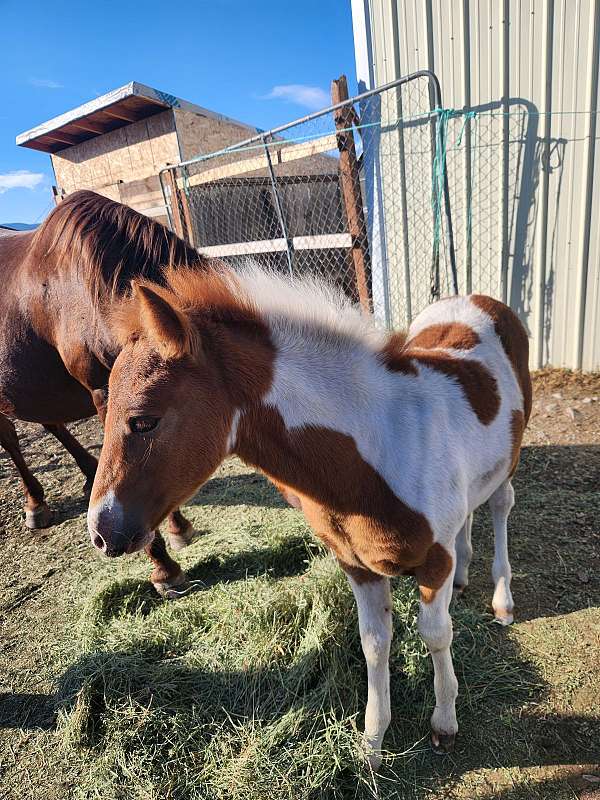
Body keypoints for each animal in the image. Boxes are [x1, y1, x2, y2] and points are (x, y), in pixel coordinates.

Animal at [0, 192, 211, 592]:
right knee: (13, 442)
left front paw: (178, 527)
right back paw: (36, 504)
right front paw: (164, 568)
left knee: (51, 424)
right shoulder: (103, 391)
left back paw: (86, 476)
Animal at [88, 264, 528, 768]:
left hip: (510, 460)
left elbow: (436, 634)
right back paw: (465, 572)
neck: (381, 444)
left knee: (500, 504)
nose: (101, 531)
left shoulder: (432, 560)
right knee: (471, 510)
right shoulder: (357, 565)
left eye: (144, 420)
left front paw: (444, 723)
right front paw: (371, 746)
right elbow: (374, 643)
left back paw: (502, 600)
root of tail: (476, 298)